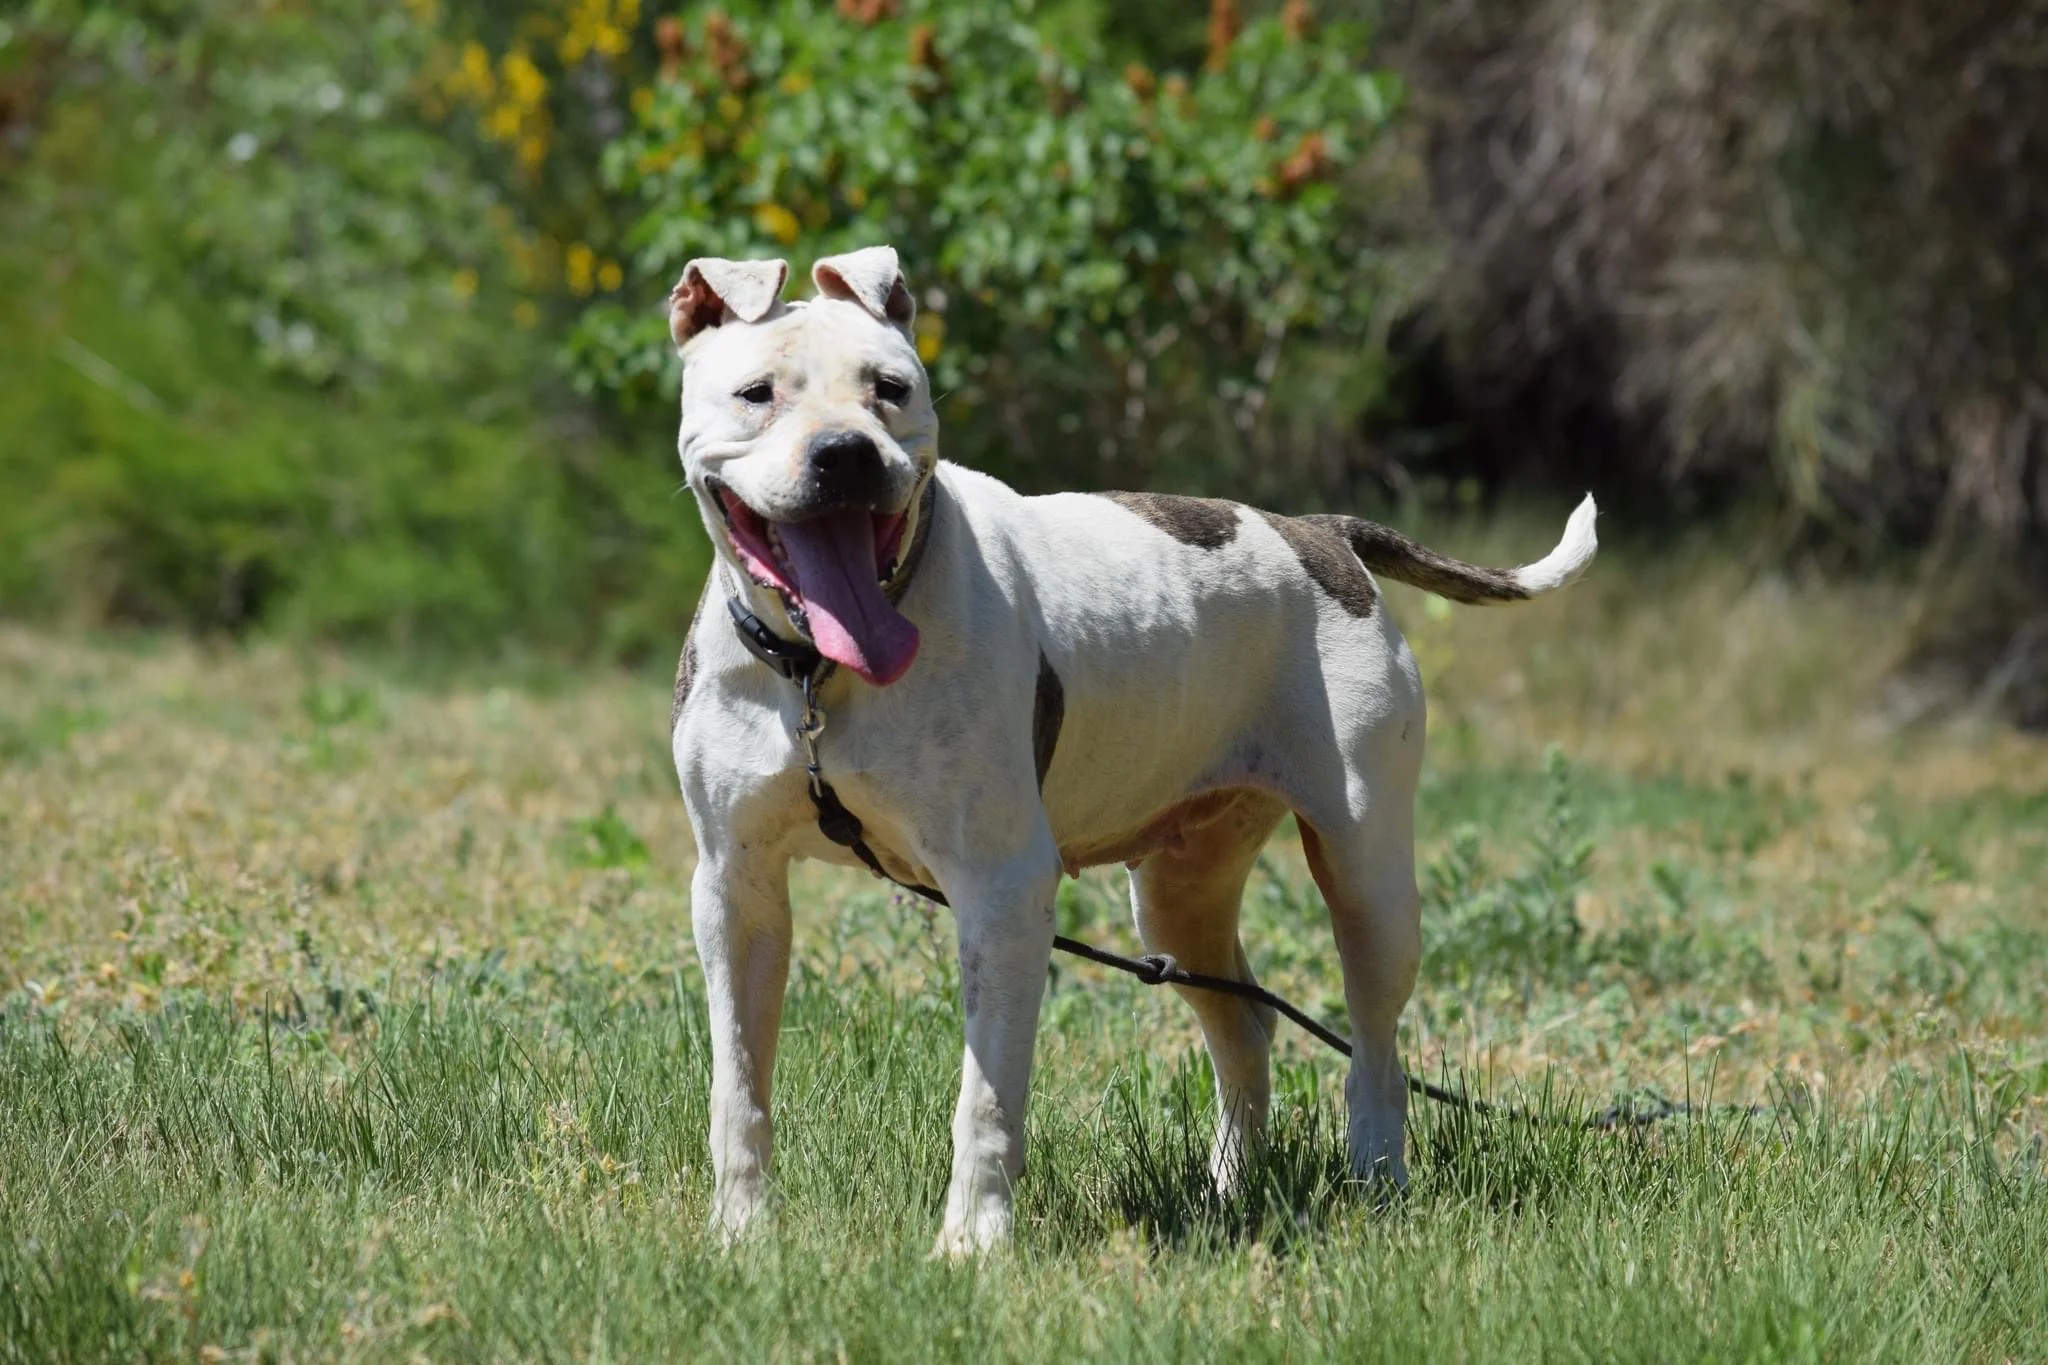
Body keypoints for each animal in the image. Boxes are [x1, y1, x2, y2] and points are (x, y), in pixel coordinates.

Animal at [671, 248, 1597, 1260]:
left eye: (891, 388)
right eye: (757, 394)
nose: (846, 454)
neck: (816, 673)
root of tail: (1324, 532)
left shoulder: (1001, 890)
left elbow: (985, 1098)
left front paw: (972, 1246)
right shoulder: (736, 889)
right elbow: (736, 1086)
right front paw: (739, 1234)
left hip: (1369, 877)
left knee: (1376, 1047)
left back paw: (1377, 1184)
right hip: (1180, 896)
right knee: (1246, 1027)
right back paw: (1229, 1192)